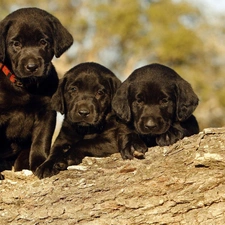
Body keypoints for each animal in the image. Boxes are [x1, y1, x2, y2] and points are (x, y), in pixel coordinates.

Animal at [0, 7, 73, 179]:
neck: (25, 86)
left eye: (43, 42)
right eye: (16, 44)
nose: (32, 67)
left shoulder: (46, 113)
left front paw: (41, 164)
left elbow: (41, 141)